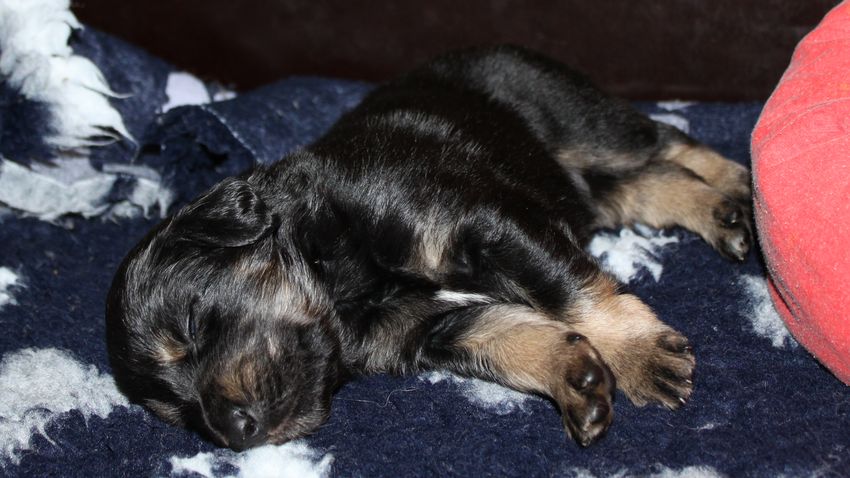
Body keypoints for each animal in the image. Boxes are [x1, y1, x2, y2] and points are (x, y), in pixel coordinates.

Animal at [106, 45, 752, 450]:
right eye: (179, 414)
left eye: (192, 326)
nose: (235, 433)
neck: (339, 278)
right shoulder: (435, 329)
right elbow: (516, 338)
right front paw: (577, 380)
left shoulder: (485, 222)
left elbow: (571, 292)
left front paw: (639, 357)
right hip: (593, 185)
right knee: (655, 184)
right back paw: (722, 213)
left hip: (586, 124)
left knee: (671, 143)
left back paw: (743, 189)